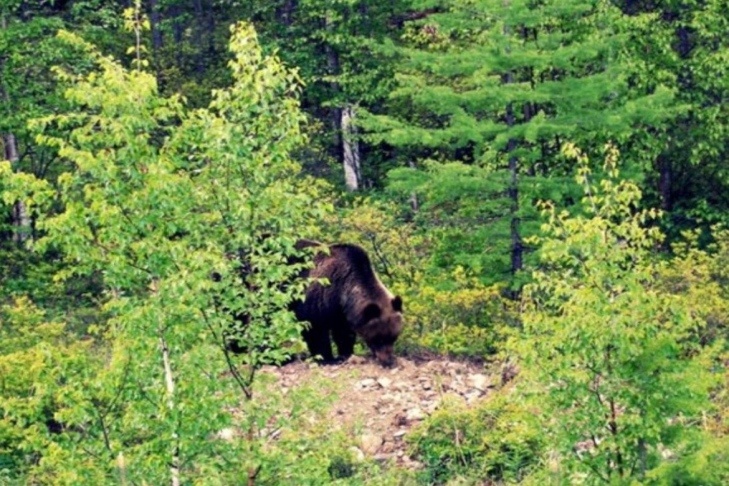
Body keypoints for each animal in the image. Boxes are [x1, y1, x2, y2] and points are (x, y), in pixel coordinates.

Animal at [292, 237, 404, 366]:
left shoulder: (342, 313)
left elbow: (344, 334)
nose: (388, 361)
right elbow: (315, 329)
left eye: (393, 337)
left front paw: (346, 353)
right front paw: (327, 358)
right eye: (379, 338)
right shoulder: (318, 299)